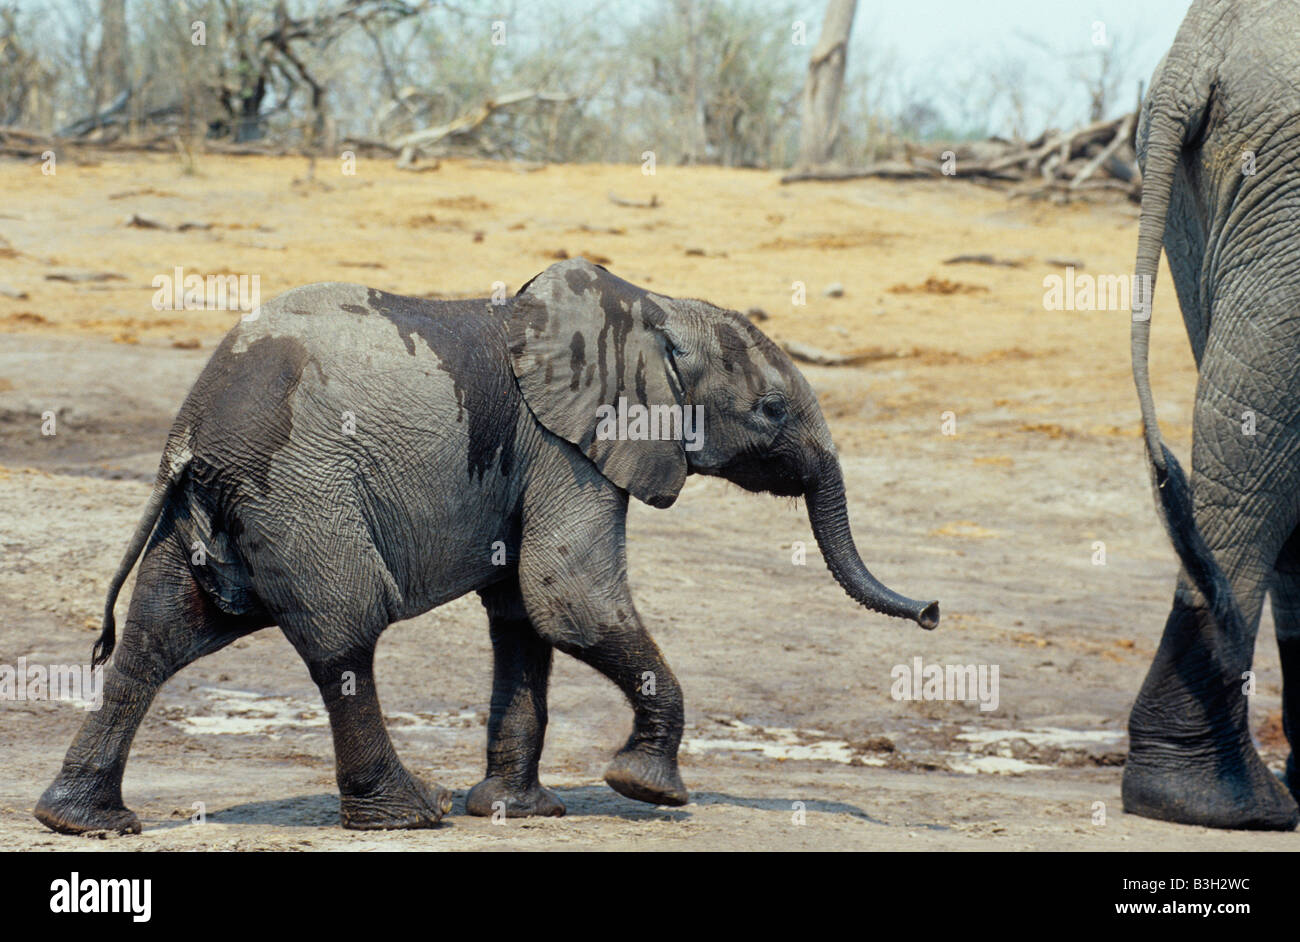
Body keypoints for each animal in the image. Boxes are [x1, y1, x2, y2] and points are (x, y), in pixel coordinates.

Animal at [35, 255, 941, 831]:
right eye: (770, 412)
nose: (933, 612)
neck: (653, 307)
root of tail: (188, 430)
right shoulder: (565, 449)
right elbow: (567, 596)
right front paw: (645, 789)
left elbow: (523, 619)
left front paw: (518, 811)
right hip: (299, 485)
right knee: (344, 637)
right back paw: (408, 814)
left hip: (226, 505)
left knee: (155, 637)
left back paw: (83, 823)